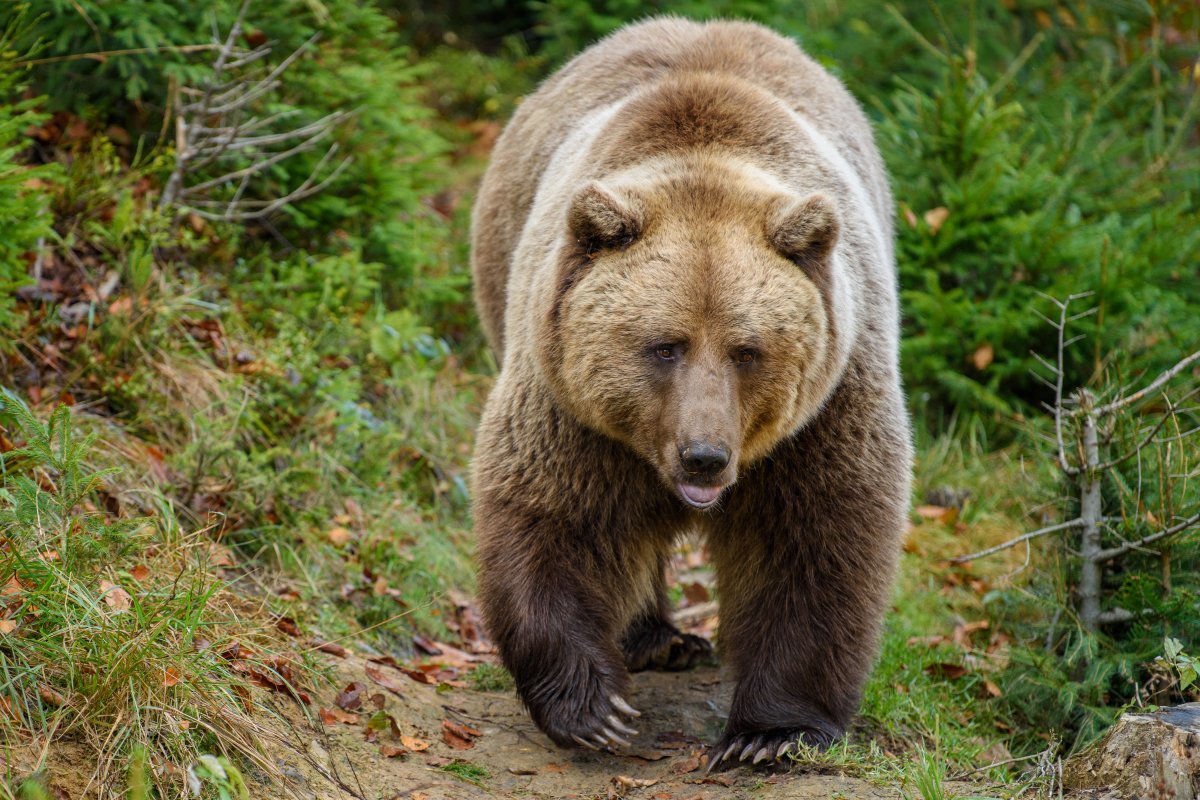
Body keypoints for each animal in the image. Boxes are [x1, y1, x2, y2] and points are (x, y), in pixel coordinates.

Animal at [465, 17, 907, 767]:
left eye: (747, 350)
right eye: (663, 345)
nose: (705, 456)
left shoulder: (830, 402)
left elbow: (821, 532)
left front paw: (770, 732)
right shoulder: (569, 402)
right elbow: (549, 513)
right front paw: (596, 710)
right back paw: (659, 639)